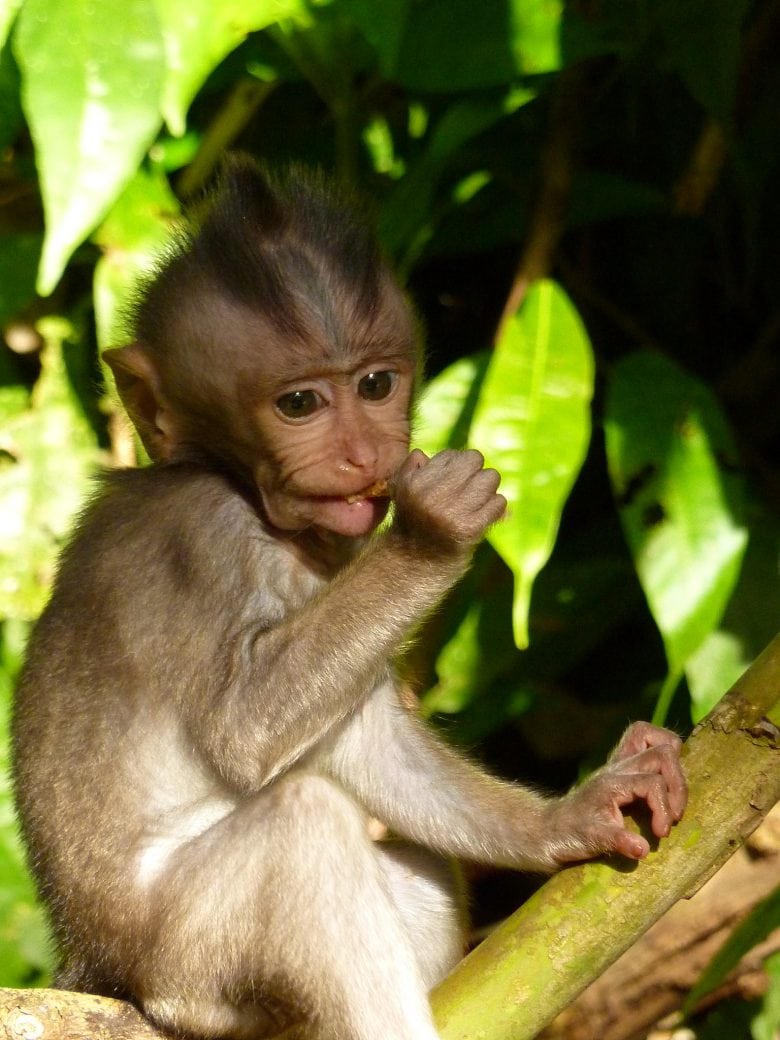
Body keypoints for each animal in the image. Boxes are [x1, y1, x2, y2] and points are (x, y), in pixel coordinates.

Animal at [10, 156, 682, 1040]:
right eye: (299, 404)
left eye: (375, 384)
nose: (366, 454)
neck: (246, 494)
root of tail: (97, 969)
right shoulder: (202, 538)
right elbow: (248, 729)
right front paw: (432, 533)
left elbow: (363, 739)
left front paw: (566, 819)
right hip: (182, 967)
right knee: (300, 829)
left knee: (414, 865)